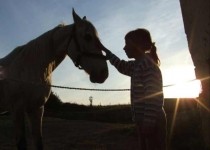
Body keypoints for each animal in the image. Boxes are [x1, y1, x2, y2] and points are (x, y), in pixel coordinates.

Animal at [0, 9, 108, 150]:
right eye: (88, 37)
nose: (104, 73)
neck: (29, 67)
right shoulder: (17, 110)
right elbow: (22, 143)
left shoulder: (36, 109)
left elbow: (39, 142)